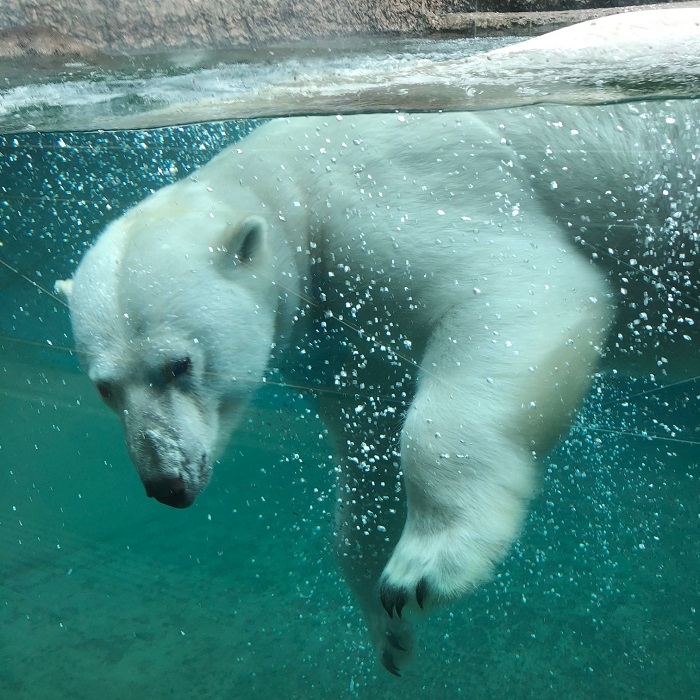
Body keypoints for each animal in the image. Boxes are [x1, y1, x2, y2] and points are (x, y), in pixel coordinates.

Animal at [56, 98, 700, 672]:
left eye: (178, 365)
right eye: (105, 388)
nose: (167, 482)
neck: (294, 180)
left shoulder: (403, 199)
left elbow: (519, 294)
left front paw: (425, 570)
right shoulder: (342, 332)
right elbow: (370, 453)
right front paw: (387, 627)